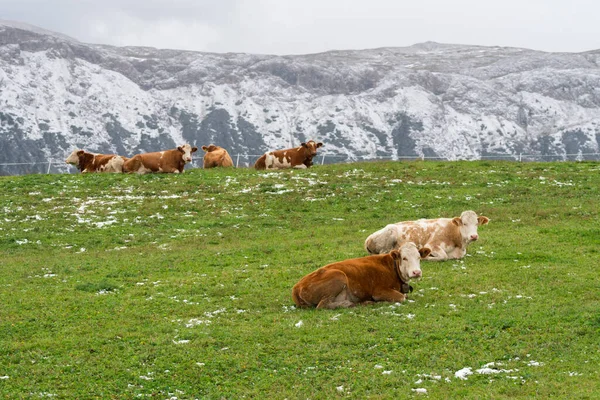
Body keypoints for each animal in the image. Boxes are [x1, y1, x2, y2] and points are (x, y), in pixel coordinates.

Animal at [292, 244, 428, 310]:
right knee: (322, 305)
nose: (416, 272)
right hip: (339, 276)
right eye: (404, 258)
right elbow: (402, 297)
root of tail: (297, 287)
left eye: (419, 257)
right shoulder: (379, 291)